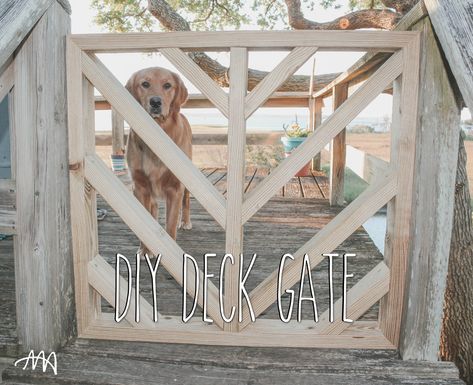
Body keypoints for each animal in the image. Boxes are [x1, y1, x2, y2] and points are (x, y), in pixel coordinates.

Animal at [126, 67, 193, 256]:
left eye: (167, 85)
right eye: (145, 84)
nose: (155, 102)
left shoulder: (175, 188)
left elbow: (170, 226)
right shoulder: (140, 186)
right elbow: (146, 222)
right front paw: (144, 250)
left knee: (186, 200)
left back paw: (185, 221)